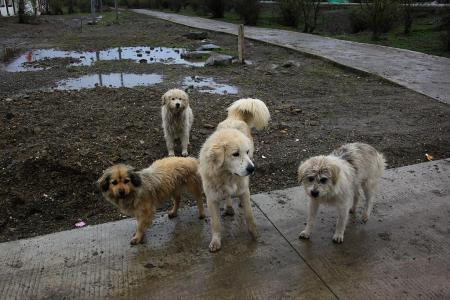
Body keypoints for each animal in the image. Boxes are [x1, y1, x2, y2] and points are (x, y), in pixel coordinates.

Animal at [199, 99, 268, 253]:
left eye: (246, 152)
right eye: (235, 154)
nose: (252, 169)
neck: (226, 175)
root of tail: (235, 118)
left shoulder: (243, 189)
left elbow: (249, 216)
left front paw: (255, 235)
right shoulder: (211, 198)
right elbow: (215, 224)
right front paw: (216, 241)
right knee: (228, 196)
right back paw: (229, 207)